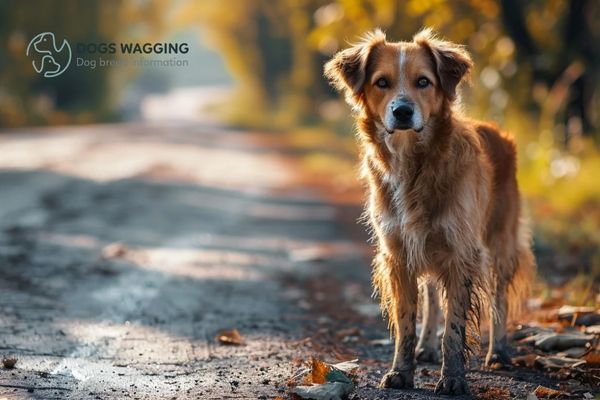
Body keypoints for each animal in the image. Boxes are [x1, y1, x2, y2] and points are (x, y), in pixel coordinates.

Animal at [324, 28, 536, 396]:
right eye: (382, 82)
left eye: (423, 81)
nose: (402, 111)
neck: (413, 165)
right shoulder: (399, 252)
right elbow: (407, 321)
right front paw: (401, 370)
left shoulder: (461, 252)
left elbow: (454, 327)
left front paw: (452, 378)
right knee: (432, 294)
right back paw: (426, 346)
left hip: (499, 242)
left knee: (498, 298)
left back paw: (498, 351)